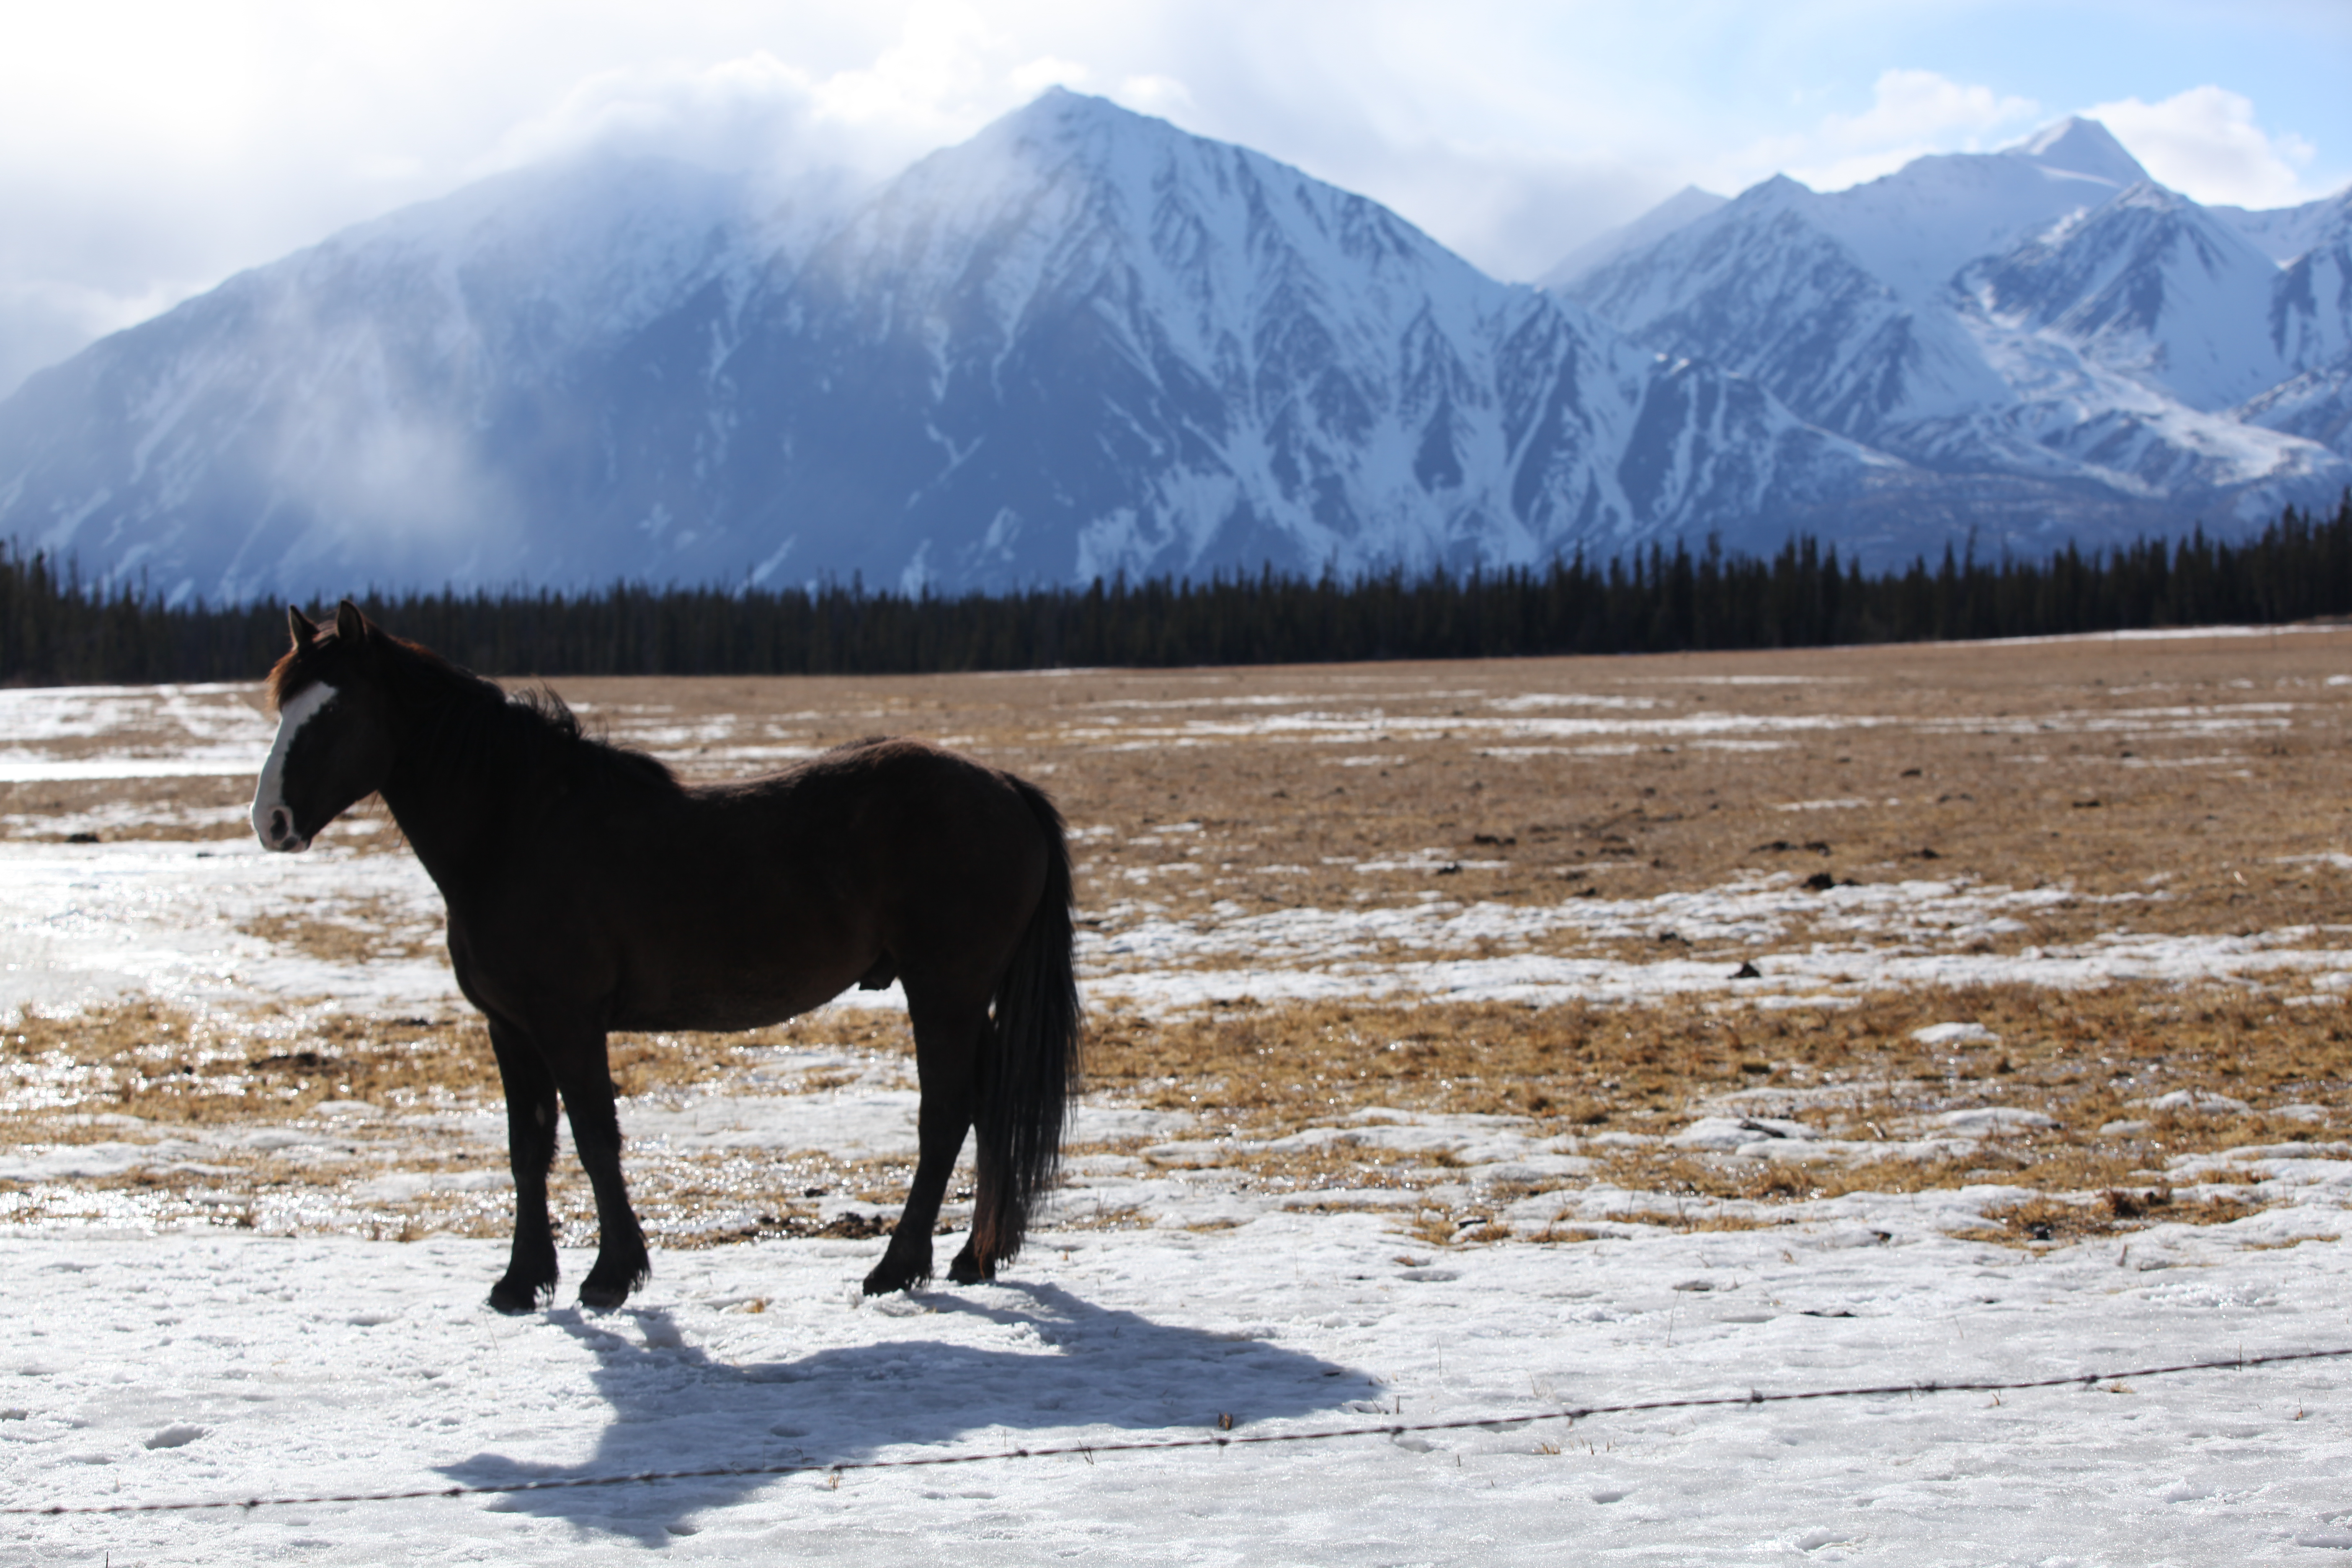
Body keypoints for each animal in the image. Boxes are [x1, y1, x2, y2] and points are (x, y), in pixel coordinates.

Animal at [250, 600, 1081, 1313]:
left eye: (334, 710)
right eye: (283, 707)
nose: (272, 821)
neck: (515, 831)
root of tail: (1005, 787)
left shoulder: (568, 1022)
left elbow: (594, 1139)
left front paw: (610, 1276)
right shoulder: (510, 1028)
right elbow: (529, 1148)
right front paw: (522, 1282)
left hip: (944, 990)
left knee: (945, 1115)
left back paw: (896, 1266)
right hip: (963, 995)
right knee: (986, 1106)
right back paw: (975, 1257)